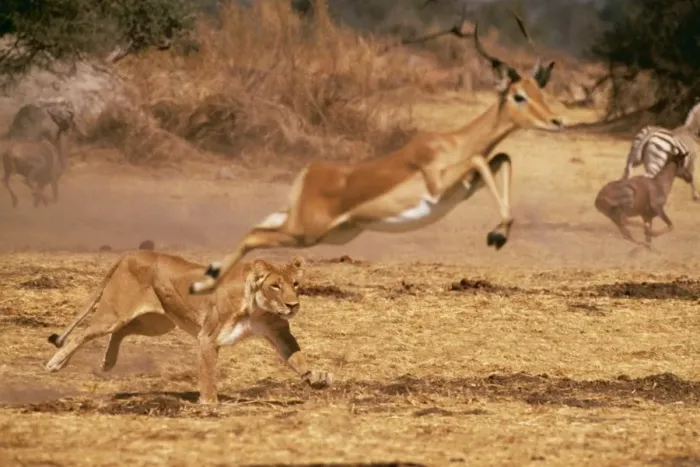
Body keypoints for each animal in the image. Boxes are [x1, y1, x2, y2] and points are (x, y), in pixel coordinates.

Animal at [44, 251, 332, 404]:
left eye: (295, 284)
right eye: (275, 286)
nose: (293, 305)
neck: (259, 308)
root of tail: (130, 254)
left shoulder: (279, 331)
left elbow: (297, 357)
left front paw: (316, 378)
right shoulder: (208, 337)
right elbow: (207, 373)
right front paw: (209, 404)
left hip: (157, 323)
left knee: (121, 331)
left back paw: (107, 363)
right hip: (114, 314)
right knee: (83, 334)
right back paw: (55, 364)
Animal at [190, 15, 565, 296]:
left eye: (539, 90)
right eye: (518, 96)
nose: (557, 121)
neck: (453, 142)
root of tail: (310, 173)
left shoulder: (464, 188)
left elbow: (501, 158)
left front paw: (498, 234)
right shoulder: (439, 186)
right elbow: (481, 159)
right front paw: (497, 235)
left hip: (327, 232)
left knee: (257, 226)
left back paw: (209, 274)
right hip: (306, 233)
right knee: (255, 235)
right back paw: (200, 286)